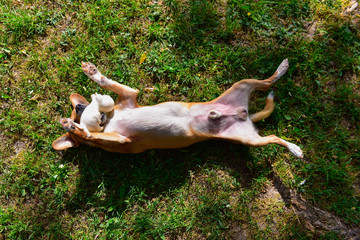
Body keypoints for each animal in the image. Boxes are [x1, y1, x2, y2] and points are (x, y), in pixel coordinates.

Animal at [51, 59, 304, 158]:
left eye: (78, 108)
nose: (80, 107)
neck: (108, 121)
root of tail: (245, 114)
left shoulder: (130, 95)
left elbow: (109, 83)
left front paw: (93, 73)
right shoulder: (121, 140)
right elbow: (92, 136)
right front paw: (73, 127)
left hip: (242, 84)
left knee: (267, 82)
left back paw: (281, 69)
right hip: (248, 140)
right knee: (272, 137)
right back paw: (294, 148)